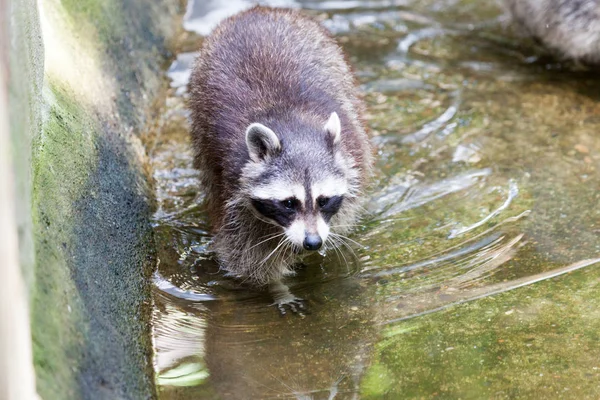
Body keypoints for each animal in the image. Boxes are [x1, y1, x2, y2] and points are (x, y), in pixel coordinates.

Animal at [190, 7, 372, 312]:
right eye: (289, 203)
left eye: (324, 200)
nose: (313, 242)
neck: (290, 124)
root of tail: (256, 10)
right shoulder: (233, 188)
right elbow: (245, 255)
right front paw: (277, 287)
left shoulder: (353, 158)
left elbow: (341, 217)